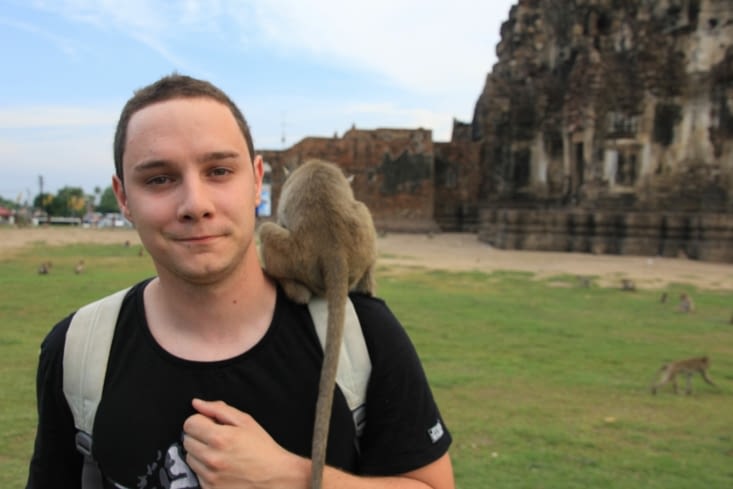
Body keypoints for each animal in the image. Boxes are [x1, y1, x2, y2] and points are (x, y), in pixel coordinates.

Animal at [257, 158, 377, 489]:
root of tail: (333, 249)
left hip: (294, 255)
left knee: (267, 230)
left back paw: (286, 285)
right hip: (357, 241)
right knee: (363, 210)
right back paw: (366, 286)